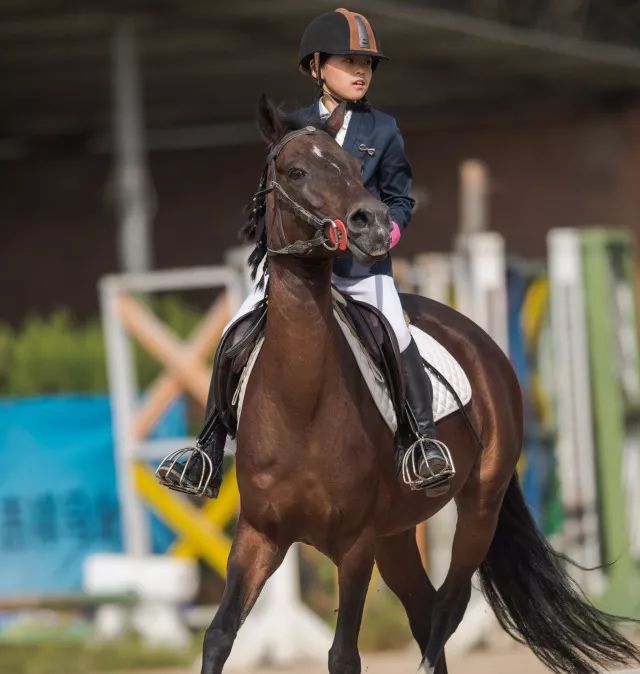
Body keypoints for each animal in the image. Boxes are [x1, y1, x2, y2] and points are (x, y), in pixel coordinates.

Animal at [199, 96, 636, 672]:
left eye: (355, 167)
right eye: (295, 172)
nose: (372, 224)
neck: (300, 402)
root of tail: (475, 335)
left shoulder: (355, 544)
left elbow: (344, 655)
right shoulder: (259, 536)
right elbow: (219, 636)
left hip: (477, 508)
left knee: (447, 609)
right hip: (397, 533)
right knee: (424, 608)